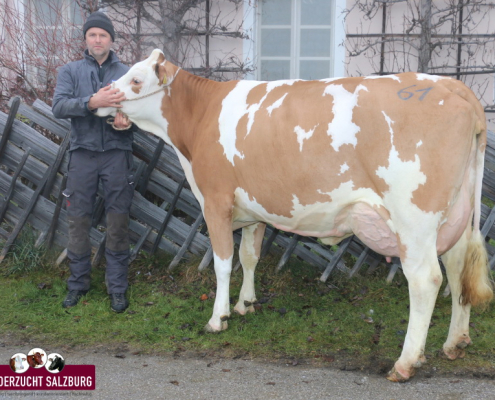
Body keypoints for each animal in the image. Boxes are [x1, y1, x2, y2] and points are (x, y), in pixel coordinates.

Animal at [95, 49, 494, 382]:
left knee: (426, 280)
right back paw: (455, 342)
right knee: (458, 267)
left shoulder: (216, 203)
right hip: (456, 215)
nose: (96, 99)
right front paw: (245, 304)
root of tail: (452, 83)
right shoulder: (253, 209)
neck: (200, 117)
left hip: (414, 218)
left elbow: (223, 262)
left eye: (135, 80)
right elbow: (249, 256)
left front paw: (218, 317)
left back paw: (405, 363)